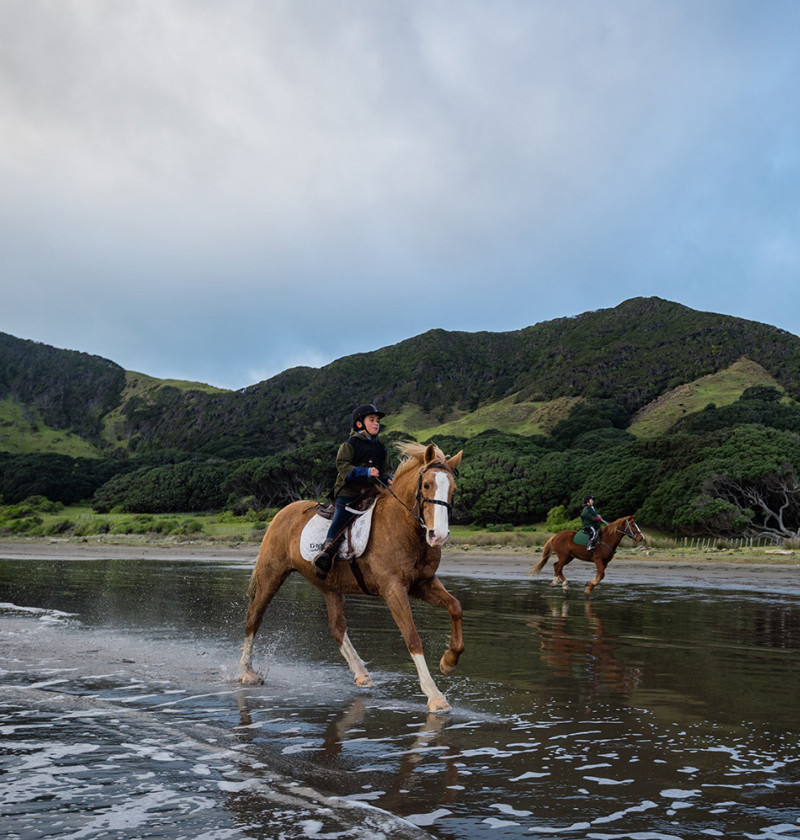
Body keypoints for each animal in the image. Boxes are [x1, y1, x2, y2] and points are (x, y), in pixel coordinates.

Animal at [239, 442, 462, 712]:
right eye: (427, 485)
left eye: (453, 488)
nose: (438, 535)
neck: (402, 526)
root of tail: (284, 511)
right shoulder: (393, 589)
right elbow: (412, 638)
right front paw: (434, 695)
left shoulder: (423, 584)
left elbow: (455, 606)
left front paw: (449, 661)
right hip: (271, 574)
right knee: (254, 617)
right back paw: (246, 671)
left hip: (331, 588)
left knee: (337, 628)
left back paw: (361, 674)